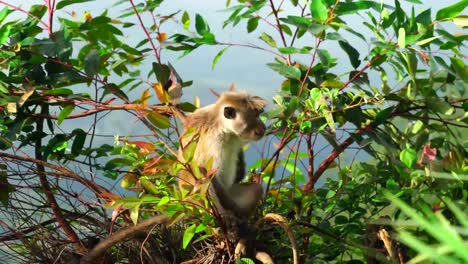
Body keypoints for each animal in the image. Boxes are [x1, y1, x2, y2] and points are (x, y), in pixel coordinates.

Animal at [177, 91, 266, 221]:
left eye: (258, 114)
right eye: (255, 116)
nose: (263, 128)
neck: (223, 129)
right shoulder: (214, 142)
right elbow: (209, 174)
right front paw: (225, 214)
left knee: (256, 189)